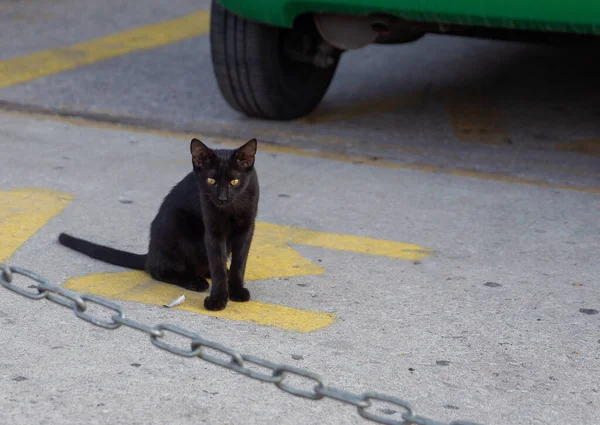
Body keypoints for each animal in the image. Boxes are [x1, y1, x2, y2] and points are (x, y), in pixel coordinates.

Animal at [56, 137, 260, 310]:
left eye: (234, 181)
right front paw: (217, 299)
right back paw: (195, 281)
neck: (231, 209)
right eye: (211, 181)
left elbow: (239, 263)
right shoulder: (213, 232)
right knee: (159, 269)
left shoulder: (246, 230)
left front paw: (236, 290)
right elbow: (217, 265)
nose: (222, 198)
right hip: (177, 229)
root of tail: (150, 252)